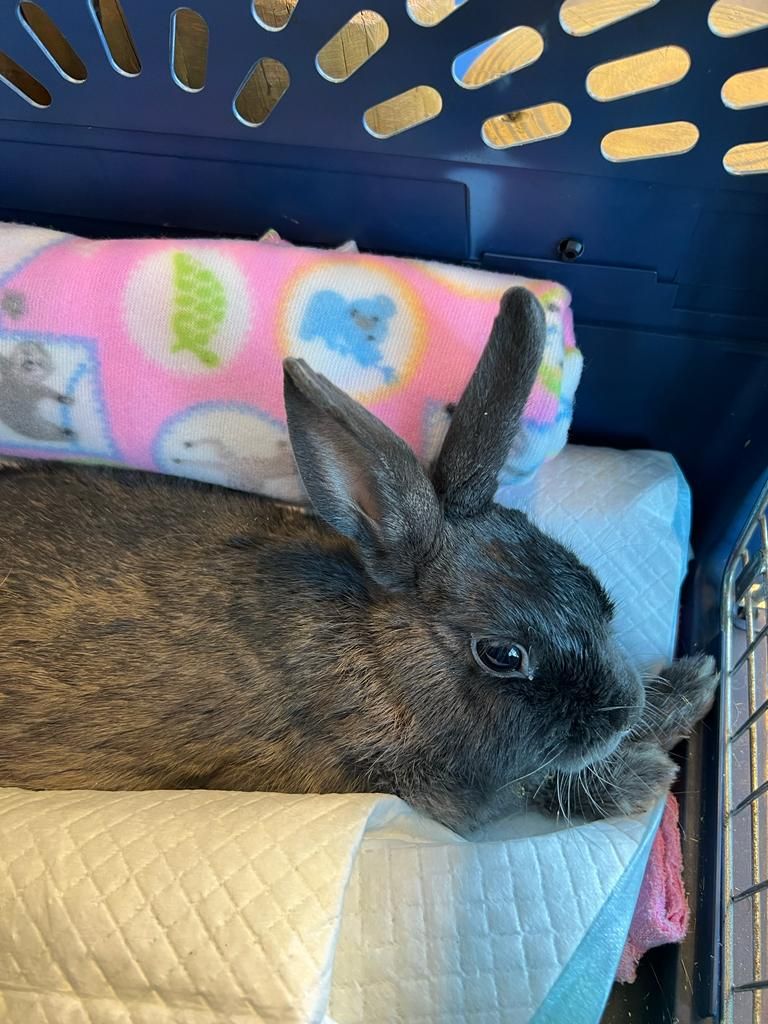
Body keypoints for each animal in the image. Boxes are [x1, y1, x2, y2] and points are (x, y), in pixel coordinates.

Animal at [0, 288, 718, 833]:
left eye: (594, 588)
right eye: (503, 655)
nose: (617, 711)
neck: (381, 661)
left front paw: (690, 685)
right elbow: (534, 786)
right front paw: (644, 774)